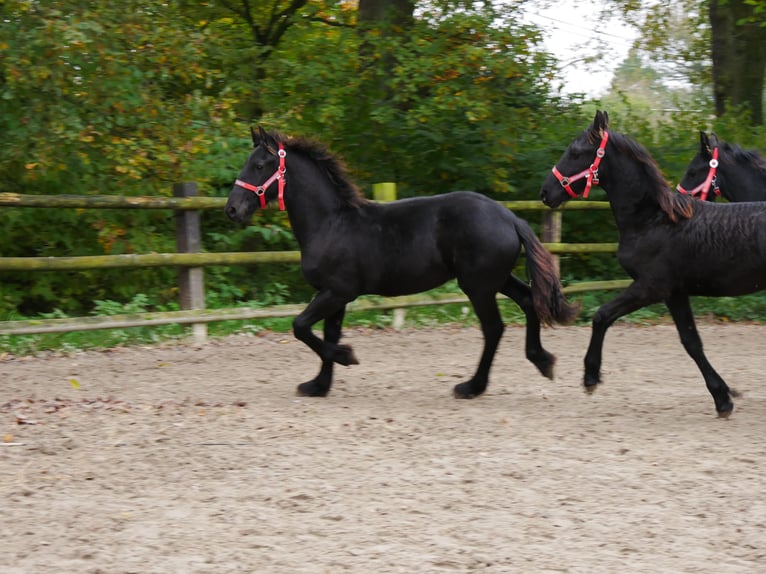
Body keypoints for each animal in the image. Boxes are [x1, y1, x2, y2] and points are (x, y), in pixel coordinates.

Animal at [228, 126, 584, 400]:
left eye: (260, 164)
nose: (232, 209)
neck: (331, 223)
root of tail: (509, 217)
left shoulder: (336, 292)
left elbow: (301, 327)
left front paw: (346, 357)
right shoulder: (336, 296)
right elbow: (327, 333)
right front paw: (318, 385)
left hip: (478, 286)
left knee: (494, 328)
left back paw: (471, 387)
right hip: (497, 279)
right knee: (528, 301)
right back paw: (542, 361)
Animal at [540, 111, 766, 418]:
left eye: (575, 153)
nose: (545, 192)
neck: (653, 219)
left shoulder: (651, 287)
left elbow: (601, 315)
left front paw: (590, 376)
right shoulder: (675, 293)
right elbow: (692, 342)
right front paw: (723, 397)